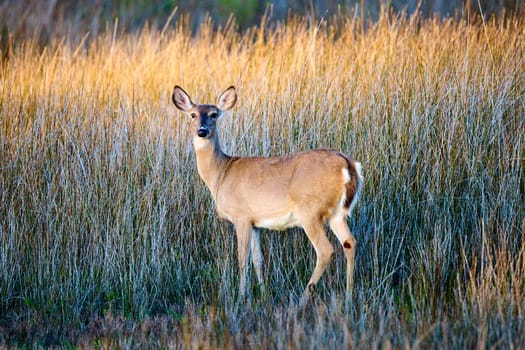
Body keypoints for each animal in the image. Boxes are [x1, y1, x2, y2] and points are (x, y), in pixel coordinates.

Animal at [171, 85, 360, 304]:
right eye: (192, 114)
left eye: (214, 114)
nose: (202, 131)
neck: (220, 174)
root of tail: (348, 164)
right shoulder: (256, 223)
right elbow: (257, 259)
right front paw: (263, 293)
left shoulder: (241, 216)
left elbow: (242, 258)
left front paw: (241, 296)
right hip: (336, 214)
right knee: (349, 242)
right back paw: (349, 297)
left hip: (310, 211)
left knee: (325, 250)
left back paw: (302, 299)